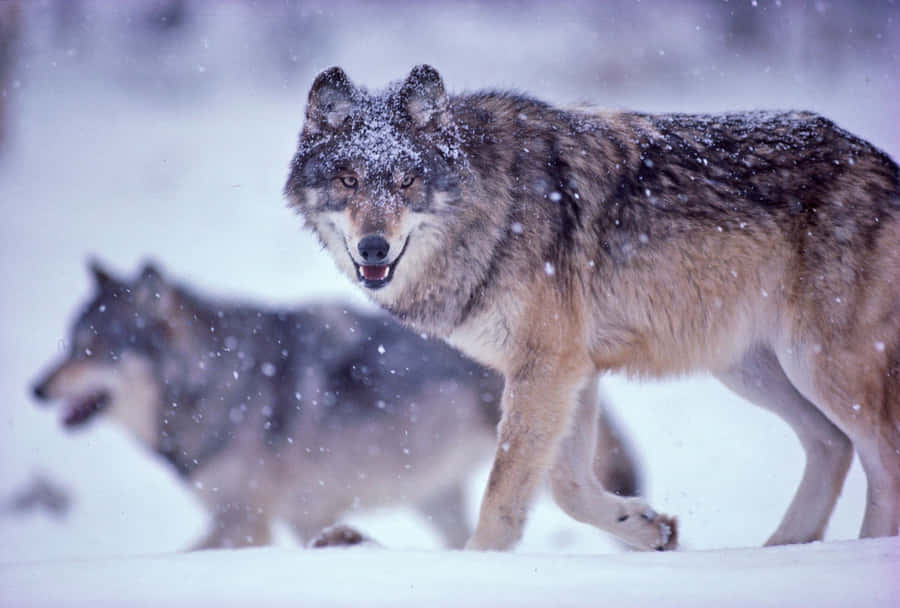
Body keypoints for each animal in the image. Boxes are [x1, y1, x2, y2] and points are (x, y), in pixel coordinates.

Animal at [32, 260, 640, 549]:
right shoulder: (305, 515)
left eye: (96, 348)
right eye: (71, 341)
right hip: (435, 496)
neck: (218, 379)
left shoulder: (244, 524)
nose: (35, 389)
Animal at [284, 65, 900, 551]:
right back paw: (783, 550)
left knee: (881, 457)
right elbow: (566, 487)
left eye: (407, 180)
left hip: (821, 365)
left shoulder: (548, 366)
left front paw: (478, 566)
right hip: (749, 368)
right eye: (348, 180)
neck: (494, 207)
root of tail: (881, 159)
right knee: (831, 445)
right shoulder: (566, 370)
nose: (373, 248)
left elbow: (505, 491)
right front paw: (647, 527)